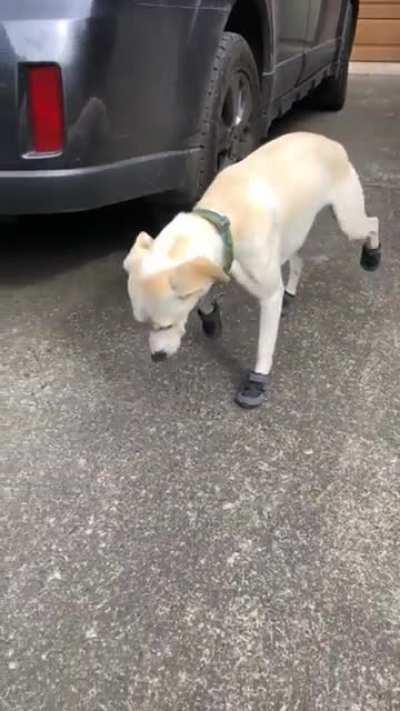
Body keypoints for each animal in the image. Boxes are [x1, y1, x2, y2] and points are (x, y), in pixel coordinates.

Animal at [123, 133, 380, 408]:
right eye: (144, 324)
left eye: (165, 326)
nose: (156, 357)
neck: (224, 219)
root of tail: (331, 142)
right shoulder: (219, 264)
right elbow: (204, 290)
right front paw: (211, 318)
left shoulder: (268, 295)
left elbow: (264, 347)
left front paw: (257, 381)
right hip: (294, 234)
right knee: (299, 261)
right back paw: (290, 293)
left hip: (348, 221)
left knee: (373, 223)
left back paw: (373, 255)